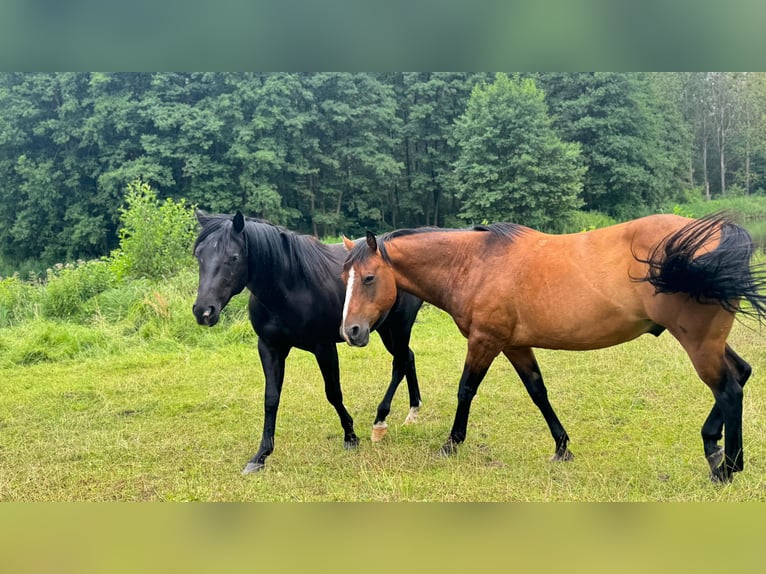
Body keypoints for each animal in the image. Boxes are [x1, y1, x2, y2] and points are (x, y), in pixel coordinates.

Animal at [190, 214, 424, 474]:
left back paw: (383, 419)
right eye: (199, 254)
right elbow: (271, 398)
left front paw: (350, 436)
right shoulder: (269, 347)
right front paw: (261, 455)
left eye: (233, 257)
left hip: (399, 326)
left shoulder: (324, 347)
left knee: (400, 363)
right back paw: (412, 412)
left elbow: (333, 393)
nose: (204, 311)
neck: (292, 285)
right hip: (384, 329)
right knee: (408, 358)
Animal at [340, 214, 766, 484]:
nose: (351, 330)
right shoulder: (514, 345)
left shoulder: (485, 341)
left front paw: (451, 444)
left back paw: (727, 468)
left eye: (369, 278)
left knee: (728, 389)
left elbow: (466, 390)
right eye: (345, 278)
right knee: (741, 374)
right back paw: (713, 447)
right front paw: (561, 446)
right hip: (710, 342)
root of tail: (721, 234)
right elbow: (538, 391)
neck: (475, 263)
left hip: (698, 343)